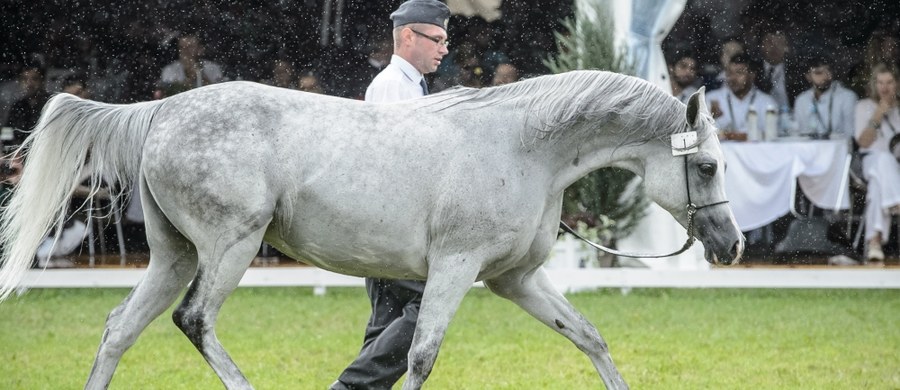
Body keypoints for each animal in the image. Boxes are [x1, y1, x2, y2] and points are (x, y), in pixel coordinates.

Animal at [0, 71, 740, 390]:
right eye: (705, 165)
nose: (731, 246)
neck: (524, 147)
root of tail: (159, 110)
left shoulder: (515, 280)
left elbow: (589, 337)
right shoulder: (455, 269)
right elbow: (420, 356)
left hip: (173, 255)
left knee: (119, 330)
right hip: (229, 248)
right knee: (194, 320)